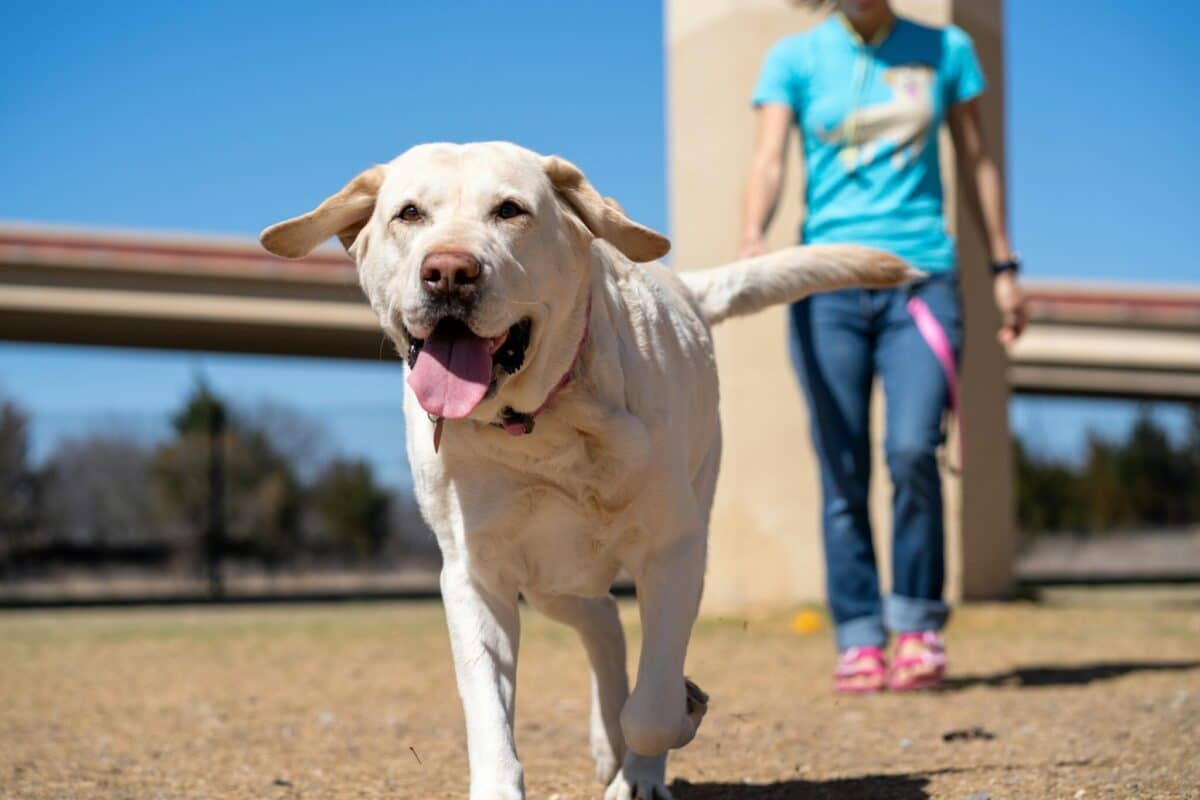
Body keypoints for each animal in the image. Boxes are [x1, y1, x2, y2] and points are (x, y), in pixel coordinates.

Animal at [260, 140, 907, 796]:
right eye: (409, 213)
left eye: (510, 210)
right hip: (551, 577)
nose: (449, 271)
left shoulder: (673, 552)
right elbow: (488, 709)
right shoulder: (474, 573)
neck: (535, 425)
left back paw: (638, 768)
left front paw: (676, 717)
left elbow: (653, 707)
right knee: (605, 624)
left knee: (632, 654)